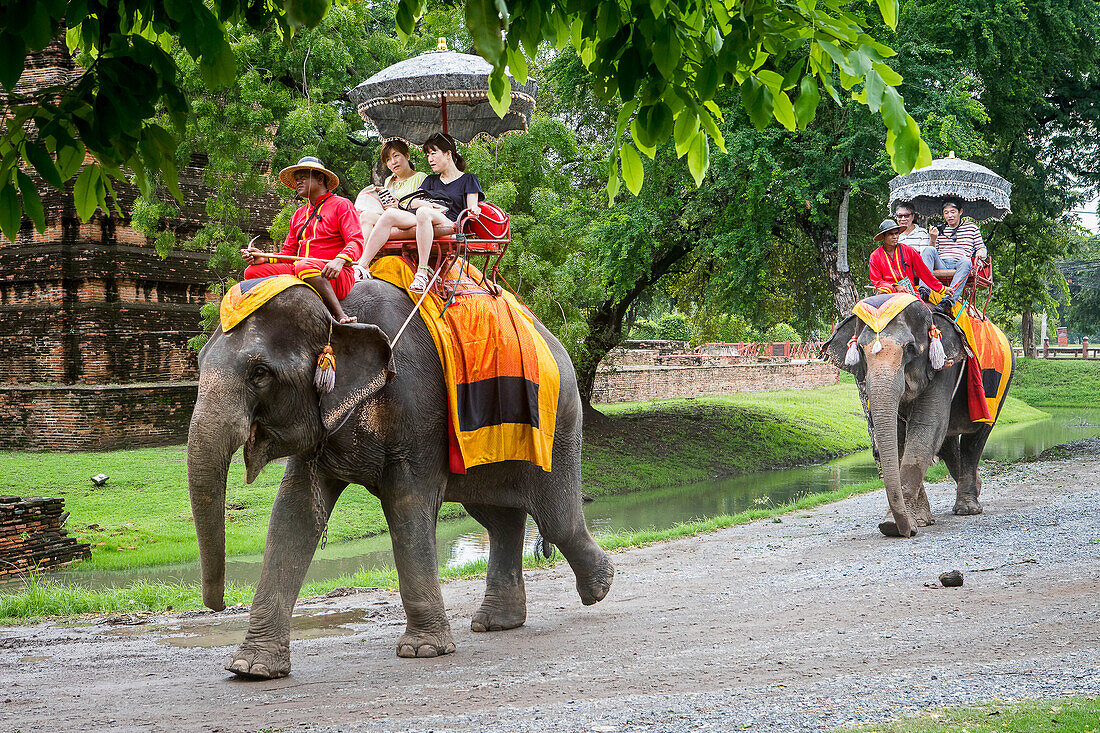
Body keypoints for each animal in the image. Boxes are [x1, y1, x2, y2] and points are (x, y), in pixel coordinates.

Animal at [192, 277, 616, 677]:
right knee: (499, 520)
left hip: (559, 424)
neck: (339, 314)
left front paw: (423, 650)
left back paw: (600, 587)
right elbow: (294, 512)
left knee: (555, 517)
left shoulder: (419, 411)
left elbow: (407, 503)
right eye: (198, 362)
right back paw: (497, 622)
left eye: (259, 373)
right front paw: (252, 668)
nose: (219, 604)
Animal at [827, 294, 1012, 539]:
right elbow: (898, 437)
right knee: (948, 442)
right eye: (859, 349)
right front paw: (917, 521)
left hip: (997, 390)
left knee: (975, 438)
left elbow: (926, 427)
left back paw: (968, 508)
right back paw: (977, 486)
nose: (904, 531)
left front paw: (893, 525)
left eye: (910, 348)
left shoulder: (944, 367)